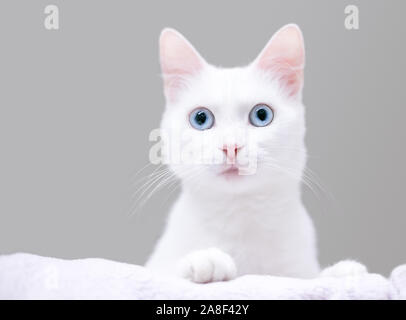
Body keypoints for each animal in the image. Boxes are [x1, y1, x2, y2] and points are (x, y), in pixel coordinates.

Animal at [146, 24, 320, 282]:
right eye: (201, 118)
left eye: (261, 115)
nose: (231, 146)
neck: (239, 217)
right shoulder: (156, 265)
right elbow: (166, 271)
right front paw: (206, 259)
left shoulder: (301, 271)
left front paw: (345, 270)